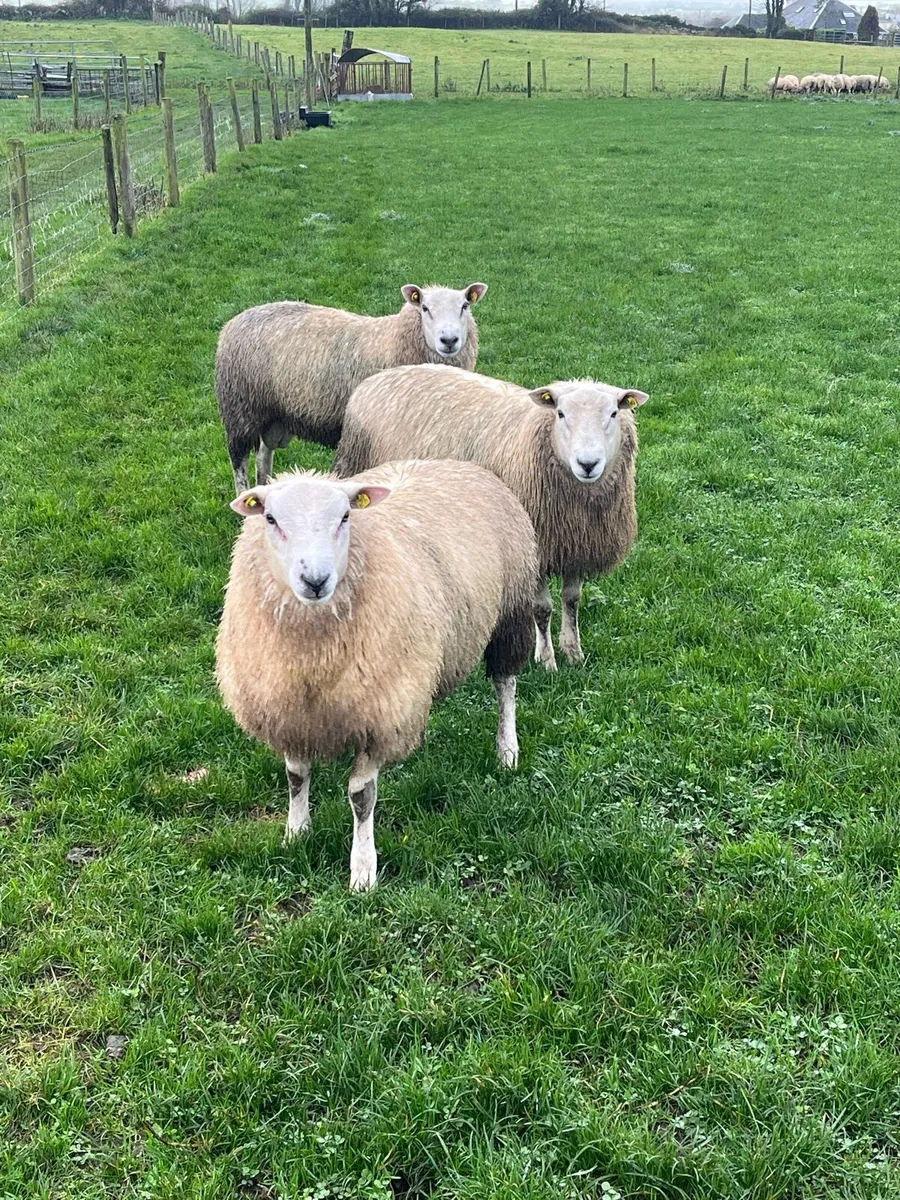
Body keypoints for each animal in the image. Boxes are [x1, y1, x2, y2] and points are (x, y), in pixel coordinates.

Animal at [215, 283, 488, 495]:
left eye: (465, 306)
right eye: (424, 308)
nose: (449, 340)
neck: (394, 340)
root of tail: (237, 318)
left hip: (274, 414)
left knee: (264, 453)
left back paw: (265, 486)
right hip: (239, 407)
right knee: (239, 459)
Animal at [216, 459, 538, 891]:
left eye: (345, 517)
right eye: (270, 518)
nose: (315, 581)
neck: (312, 656)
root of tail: (449, 461)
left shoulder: (377, 714)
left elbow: (361, 796)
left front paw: (363, 870)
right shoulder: (292, 711)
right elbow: (296, 777)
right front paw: (296, 832)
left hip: (512, 611)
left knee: (506, 685)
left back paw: (507, 749)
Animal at [334, 366, 649, 673]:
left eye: (613, 413)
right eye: (560, 413)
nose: (588, 464)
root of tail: (379, 376)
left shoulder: (578, 544)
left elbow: (572, 602)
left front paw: (573, 653)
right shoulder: (534, 547)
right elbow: (542, 609)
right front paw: (547, 661)